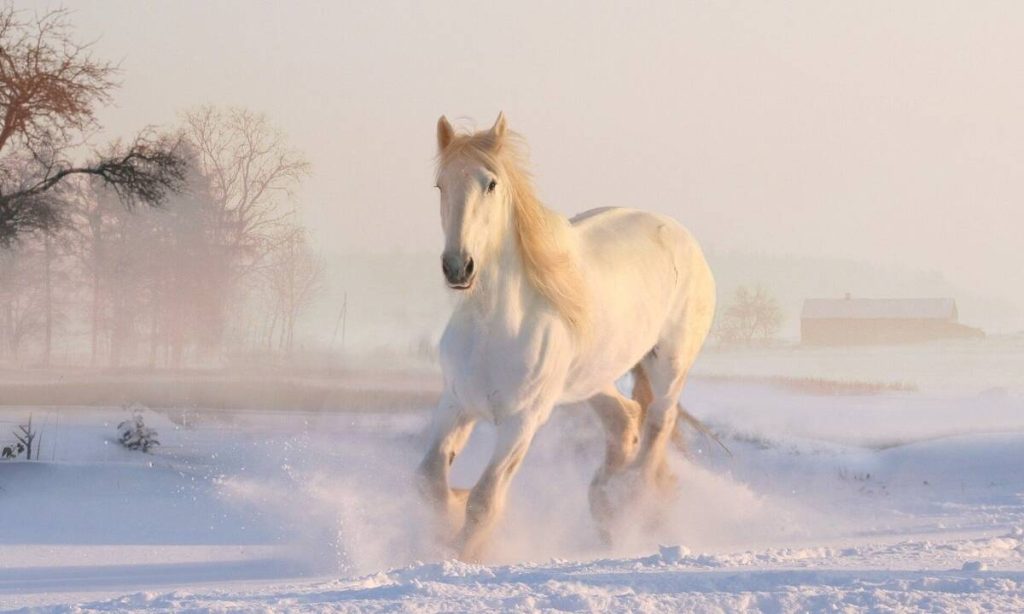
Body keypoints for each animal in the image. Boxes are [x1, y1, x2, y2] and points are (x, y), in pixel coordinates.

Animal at [415, 111, 712, 560]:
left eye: (490, 183)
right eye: (440, 184)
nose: (458, 267)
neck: (493, 327)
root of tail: (680, 234)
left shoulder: (522, 421)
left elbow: (484, 500)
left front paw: (463, 555)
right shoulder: (456, 403)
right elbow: (430, 479)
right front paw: (449, 519)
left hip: (669, 366)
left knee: (658, 423)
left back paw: (631, 502)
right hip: (591, 378)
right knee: (626, 419)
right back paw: (605, 505)